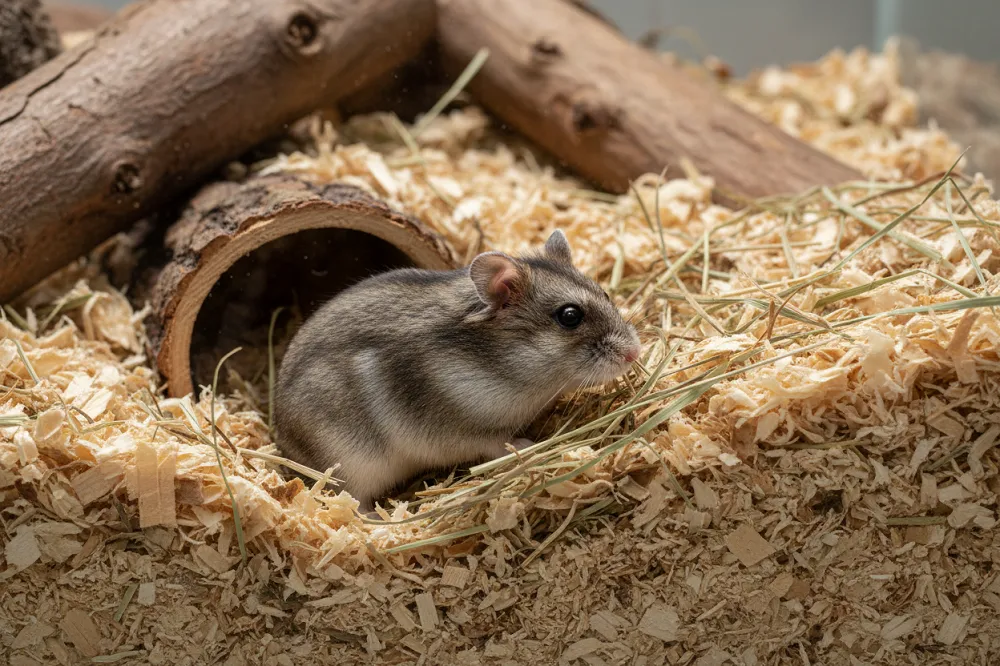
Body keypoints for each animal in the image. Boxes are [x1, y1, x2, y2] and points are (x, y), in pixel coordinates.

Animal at [274, 229, 641, 511]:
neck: (500, 363)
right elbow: (497, 443)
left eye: (605, 292)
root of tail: (282, 441)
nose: (634, 353)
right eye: (570, 316)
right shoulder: (461, 433)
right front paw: (528, 444)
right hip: (349, 466)